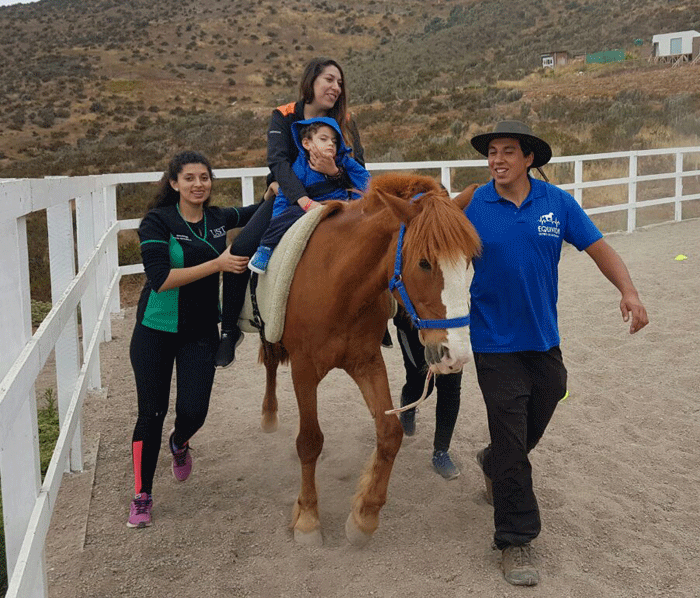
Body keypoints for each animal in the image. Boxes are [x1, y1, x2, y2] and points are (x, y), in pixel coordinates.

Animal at [258, 172, 481, 547]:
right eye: (424, 262)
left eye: (468, 263)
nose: (457, 354)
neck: (339, 284)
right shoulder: (304, 369)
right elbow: (309, 441)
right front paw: (308, 518)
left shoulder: (366, 361)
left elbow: (390, 433)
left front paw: (365, 516)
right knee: (272, 362)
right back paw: (269, 414)